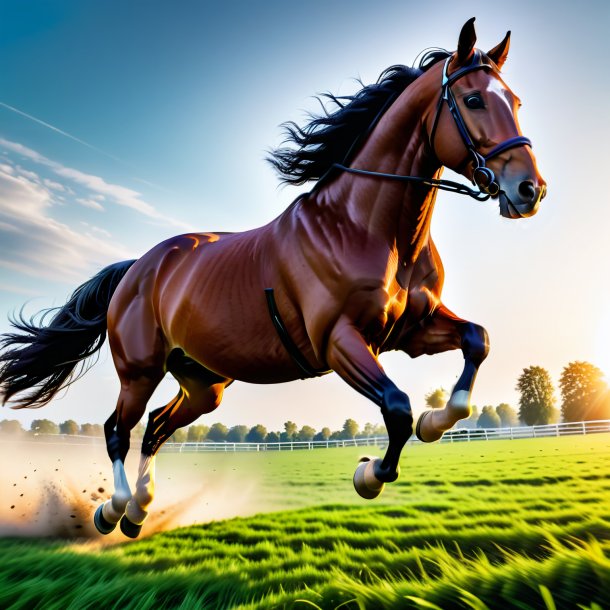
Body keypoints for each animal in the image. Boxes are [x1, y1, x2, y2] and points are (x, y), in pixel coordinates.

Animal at [0, 16, 540, 536]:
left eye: (515, 101)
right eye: (473, 99)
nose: (530, 189)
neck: (367, 228)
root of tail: (138, 267)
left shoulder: (410, 331)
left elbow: (476, 342)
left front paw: (437, 422)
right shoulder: (341, 342)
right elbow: (397, 405)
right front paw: (368, 474)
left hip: (204, 383)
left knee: (155, 427)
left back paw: (139, 511)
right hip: (139, 369)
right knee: (118, 429)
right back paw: (111, 510)